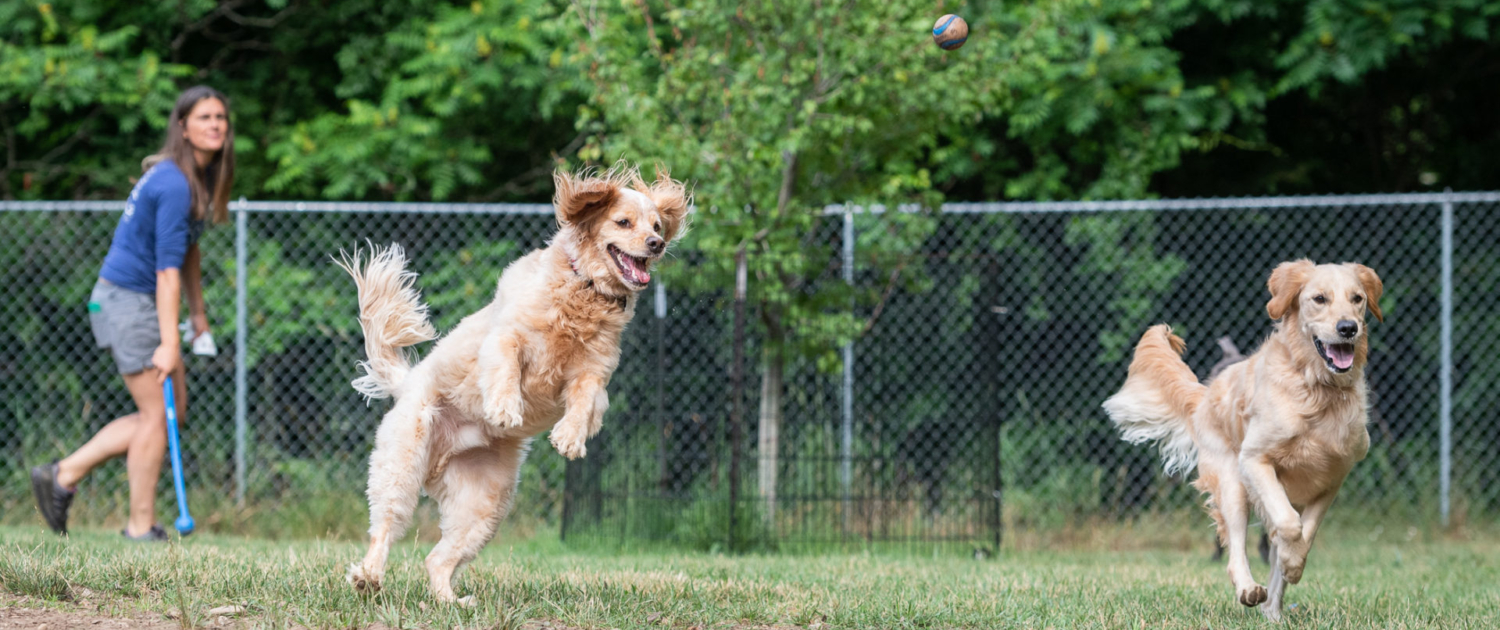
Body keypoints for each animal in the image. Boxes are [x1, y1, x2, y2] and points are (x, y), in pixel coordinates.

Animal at [337, 165, 687, 603]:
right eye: (624, 222)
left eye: (657, 225)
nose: (657, 244)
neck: (583, 290)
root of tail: (408, 382)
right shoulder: (507, 338)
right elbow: (506, 369)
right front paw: (505, 409)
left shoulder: (594, 373)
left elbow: (585, 402)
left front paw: (570, 438)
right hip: (401, 466)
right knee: (384, 529)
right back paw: (368, 576)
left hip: (484, 506)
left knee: (437, 560)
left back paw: (451, 602)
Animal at [1104, 259, 1380, 621]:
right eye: (1319, 299)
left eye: (1357, 298)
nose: (1348, 328)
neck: (1317, 391)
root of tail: (1206, 395)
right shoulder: (1254, 460)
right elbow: (1288, 525)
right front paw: (1291, 562)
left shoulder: (1332, 479)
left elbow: (1304, 532)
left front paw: (1293, 565)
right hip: (1232, 483)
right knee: (1236, 549)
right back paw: (1250, 589)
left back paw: (1273, 611)